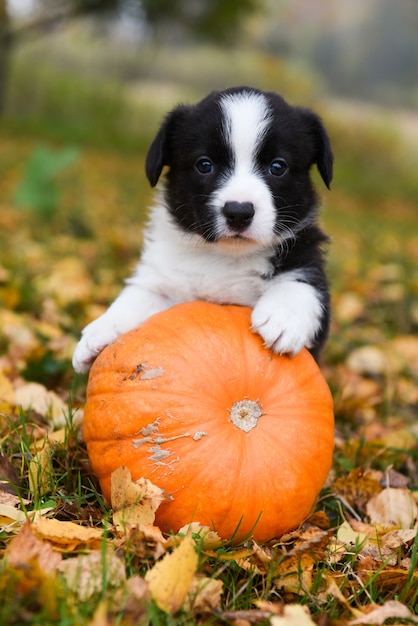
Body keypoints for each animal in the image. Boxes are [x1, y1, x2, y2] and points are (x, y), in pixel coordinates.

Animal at [72, 85, 334, 372]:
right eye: (204, 164)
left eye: (278, 167)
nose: (239, 212)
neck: (225, 258)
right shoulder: (163, 281)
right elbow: (136, 298)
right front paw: (100, 331)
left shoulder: (306, 258)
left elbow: (302, 283)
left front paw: (282, 316)